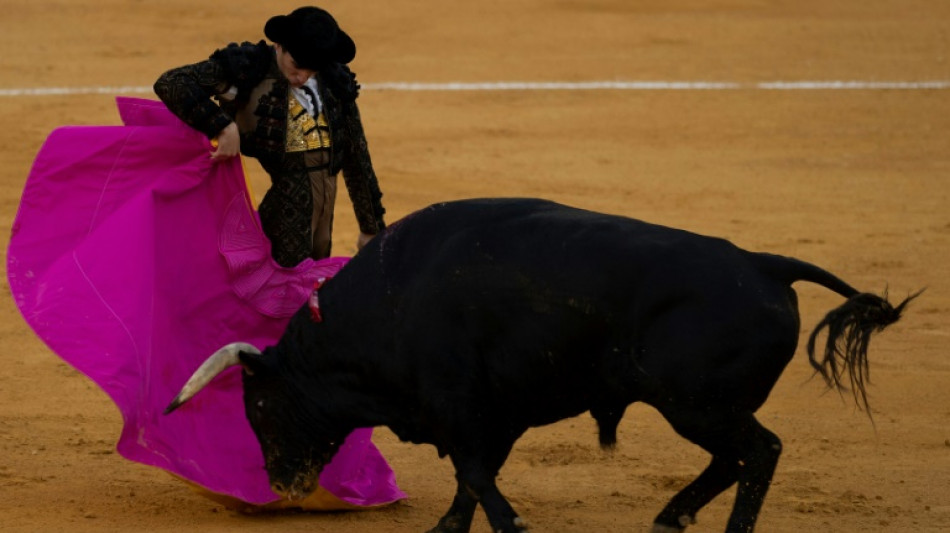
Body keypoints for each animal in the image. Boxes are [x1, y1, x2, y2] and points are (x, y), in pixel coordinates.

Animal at [167, 197, 920, 532]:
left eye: (260, 406)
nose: (282, 485)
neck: (387, 303)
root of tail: (765, 264)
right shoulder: (495, 414)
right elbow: (474, 476)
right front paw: (450, 528)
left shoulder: (460, 405)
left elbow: (474, 472)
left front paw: (512, 525)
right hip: (702, 408)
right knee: (736, 458)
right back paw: (671, 515)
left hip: (698, 404)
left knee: (758, 452)